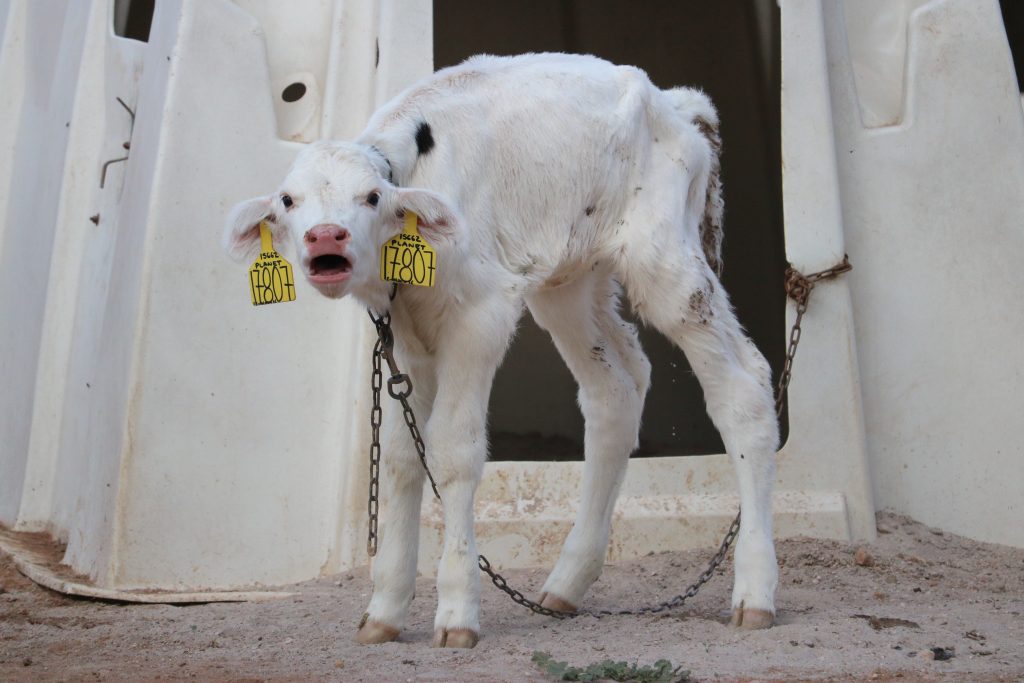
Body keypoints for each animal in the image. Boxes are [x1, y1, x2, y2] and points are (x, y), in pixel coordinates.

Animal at [226, 52, 774, 647]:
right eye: (289, 200)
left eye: (371, 197)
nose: (326, 236)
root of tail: (672, 100)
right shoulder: (407, 342)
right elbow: (400, 458)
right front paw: (385, 609)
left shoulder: (479, 317)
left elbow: (453, 452)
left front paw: (457, 610)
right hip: (568, 282)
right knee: (616, 389)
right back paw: (566, 583)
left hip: (667, 264)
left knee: (743, 387)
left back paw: (755, 593)